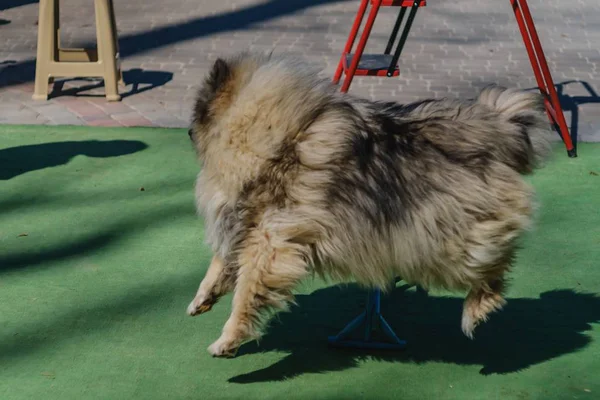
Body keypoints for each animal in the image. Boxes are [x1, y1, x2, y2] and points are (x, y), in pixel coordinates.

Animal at [185, 52, 552, 356]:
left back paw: (478, 307)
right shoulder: (246, 225)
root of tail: (498, 128)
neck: (275, 137)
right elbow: (219, 264)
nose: (187, 132)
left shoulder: (269, 240)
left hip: (446, 238)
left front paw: (226, 340)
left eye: (198, 113)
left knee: (493, 266)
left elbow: (245, 292)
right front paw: (202, 299)